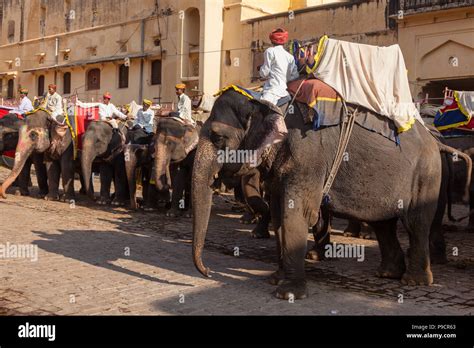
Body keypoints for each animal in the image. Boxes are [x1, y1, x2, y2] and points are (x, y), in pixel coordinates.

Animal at [191, 87, 468, 300]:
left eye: (217, 137)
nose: (208, 272)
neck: (268, 103)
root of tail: (436, 141)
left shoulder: (307, 156)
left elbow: (297, 214)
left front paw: (288, 293)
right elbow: (280, 214)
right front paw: (275, 279)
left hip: (426, 175)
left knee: (416, 223)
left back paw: (414, 281)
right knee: (384, 224)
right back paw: (388, 274)